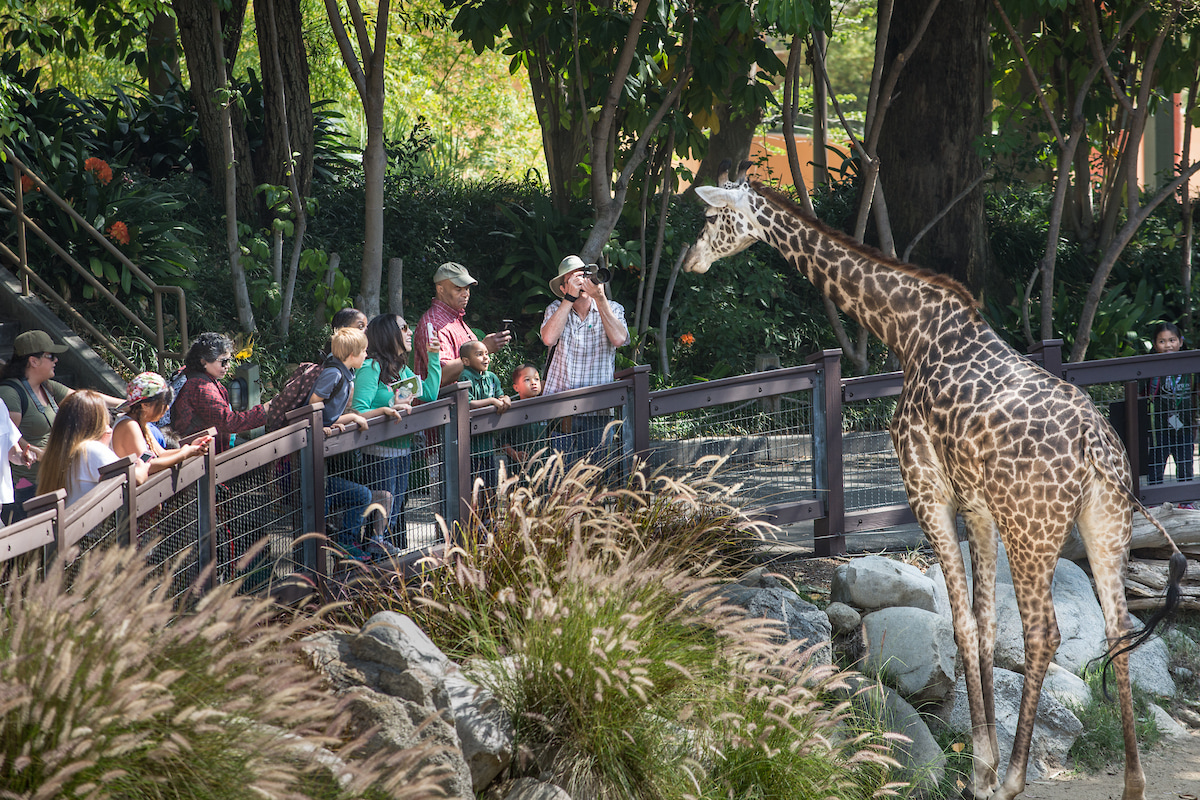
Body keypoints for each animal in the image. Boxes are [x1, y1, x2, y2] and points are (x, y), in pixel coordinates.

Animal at [686, 164, 1190, 800]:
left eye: (710, 217)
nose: (691, 259)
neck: (905, 329)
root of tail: (1097, 451)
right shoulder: (977, 506)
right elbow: (984, 623)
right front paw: (985, 761)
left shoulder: (929, 492)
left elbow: (961, 622)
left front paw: (982, 771)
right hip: (1105, 525)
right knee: (1118, 628)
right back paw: (1132, 783)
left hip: (1034, 532)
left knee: (1044, 634)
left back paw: (1017, 777)